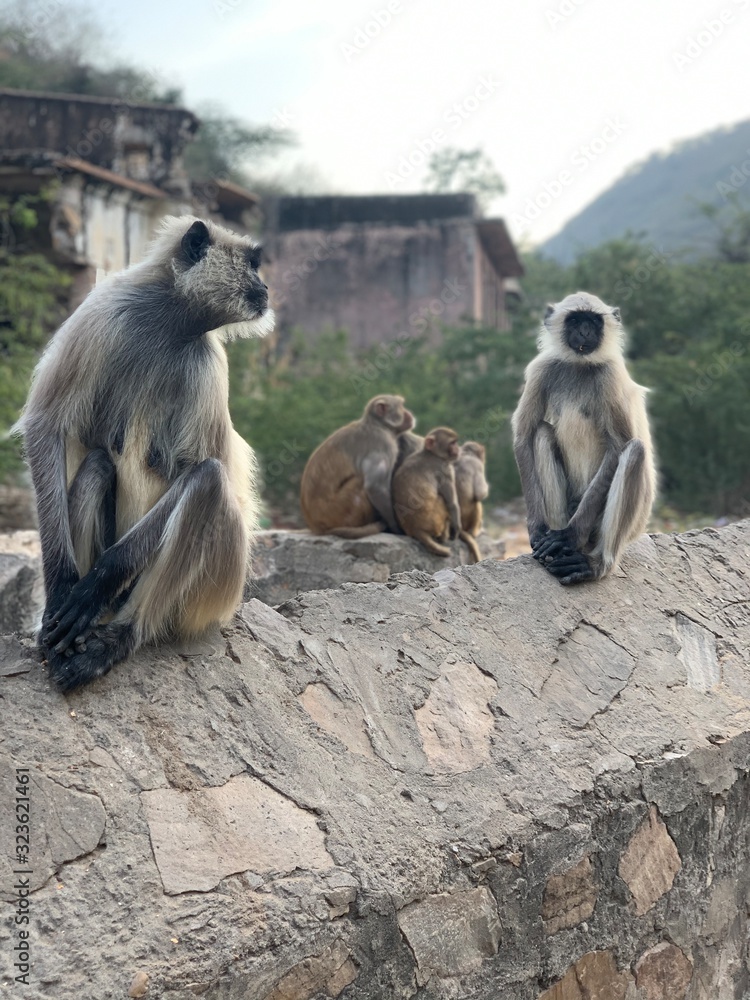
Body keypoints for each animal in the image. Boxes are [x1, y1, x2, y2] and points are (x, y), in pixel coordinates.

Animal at [13, 217, 276, 688]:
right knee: (98, 465)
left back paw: (119, 637)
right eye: (253, 264)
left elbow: (196, 469)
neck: (170, 321)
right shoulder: (103, 312)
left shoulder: (207, 362)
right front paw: (61, 586)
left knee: (208, 481)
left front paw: (99, 581)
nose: (265, 287)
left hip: (220, 587)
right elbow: (47, 425)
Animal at [302, 396, 418, 540]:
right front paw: (395, 527)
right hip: (341, 510)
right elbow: (375, 487)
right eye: (401, 406)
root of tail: (316, 526)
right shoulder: (383, 443)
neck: (378, 425)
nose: (409, 413)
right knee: (360, 482)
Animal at [516, 292, 656, 584]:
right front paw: (537, 530)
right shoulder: (541, 369)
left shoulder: (610, 375)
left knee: (635, 450)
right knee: (542, 433)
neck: (579, 365)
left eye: (593, 321)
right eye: (575, 320)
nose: (584, 331)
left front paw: (570, 536)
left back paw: (594, 563)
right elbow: (524, 436)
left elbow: (619, 446)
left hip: (634, 521)